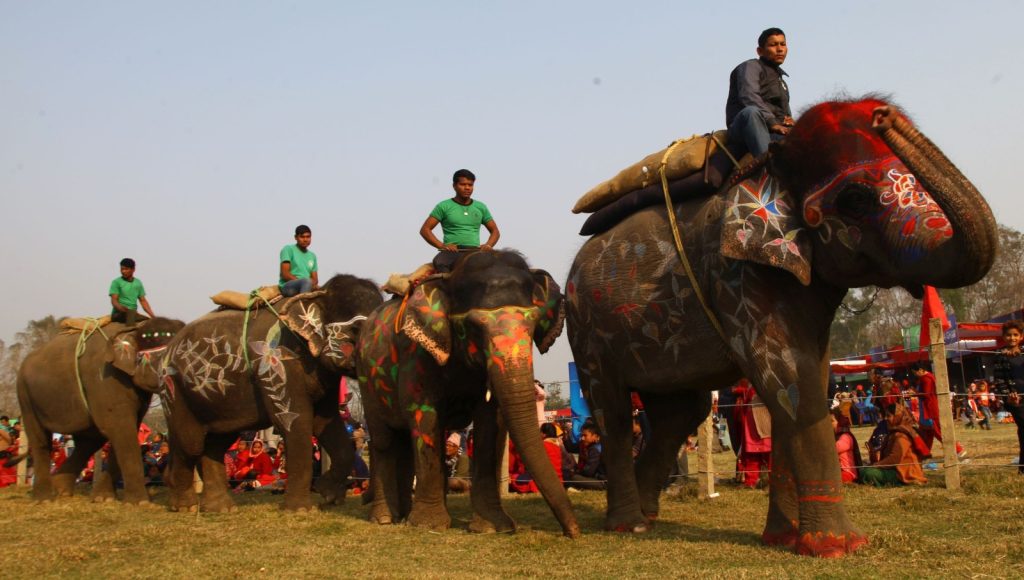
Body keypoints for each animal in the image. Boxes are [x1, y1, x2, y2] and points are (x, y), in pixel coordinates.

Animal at [16, 317, 184, 504]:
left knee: (89, 441)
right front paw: (140, 502)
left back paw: (61, 490)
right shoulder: (104, 379)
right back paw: (44, 499)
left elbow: (126, 429)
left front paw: (103, 499)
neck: (133, 329)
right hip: (25, 394)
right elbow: (119, 428)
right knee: (40, 440)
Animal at [159, 274, 385, 514]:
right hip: (173, 389)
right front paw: (300, 511)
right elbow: (295, 421)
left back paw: (220, 509)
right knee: (192, 443)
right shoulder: (279, 365)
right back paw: (185, 506)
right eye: (356, 330)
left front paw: (327, 495)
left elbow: (325, 422)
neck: (317, 293)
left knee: (216, 443)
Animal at [356, 251, 581, 541]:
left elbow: (490, 422)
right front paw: (428, 525)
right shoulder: (417, 356)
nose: (573, 532)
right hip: (366, 379)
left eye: (533, 324)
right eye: (474, 327)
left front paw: (494, 527)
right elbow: (425, 417)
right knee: (384, 440)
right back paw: (385, 519)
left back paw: (404, 515)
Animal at [565, 97, 995, 557]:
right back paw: (629, 526)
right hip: (588, 332)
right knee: (613, 411)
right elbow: (791, 379)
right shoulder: (736, 275)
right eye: (856, 199)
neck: (773, 168)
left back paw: (648, 518)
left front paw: (784, 539)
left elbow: (805, 380)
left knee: (679, 413)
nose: (885, 115)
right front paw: (839, 547)